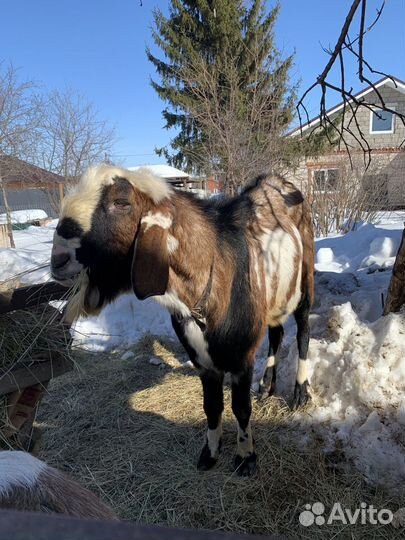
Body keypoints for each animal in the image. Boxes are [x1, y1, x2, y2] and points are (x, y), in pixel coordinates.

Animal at [50, 166, 314, 476]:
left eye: (121, 202)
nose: (58, 260)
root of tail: (277, 181)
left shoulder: (241, 358)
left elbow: (240, 408)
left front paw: (246, 457)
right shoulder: (202, 361)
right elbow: (211, 406)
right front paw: (210, 453)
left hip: (305, 280)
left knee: (303, 331)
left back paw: (301, 393)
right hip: (275, 298)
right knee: (276, 333)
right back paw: (266, 386)